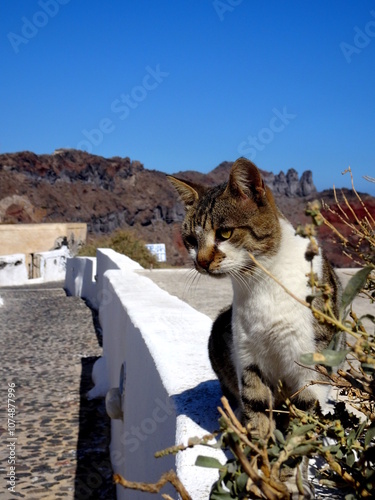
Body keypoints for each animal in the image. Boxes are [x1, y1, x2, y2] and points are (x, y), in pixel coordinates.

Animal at [169, 158, 346, 498]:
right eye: (191, 241)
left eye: (225, 232)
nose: (201, 262)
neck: (260, 283)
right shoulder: (248, 357)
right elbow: (257, 414)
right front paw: (258, 472)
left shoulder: (310, 368)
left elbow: (299, 430)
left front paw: (287, 479)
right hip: (220, 333)